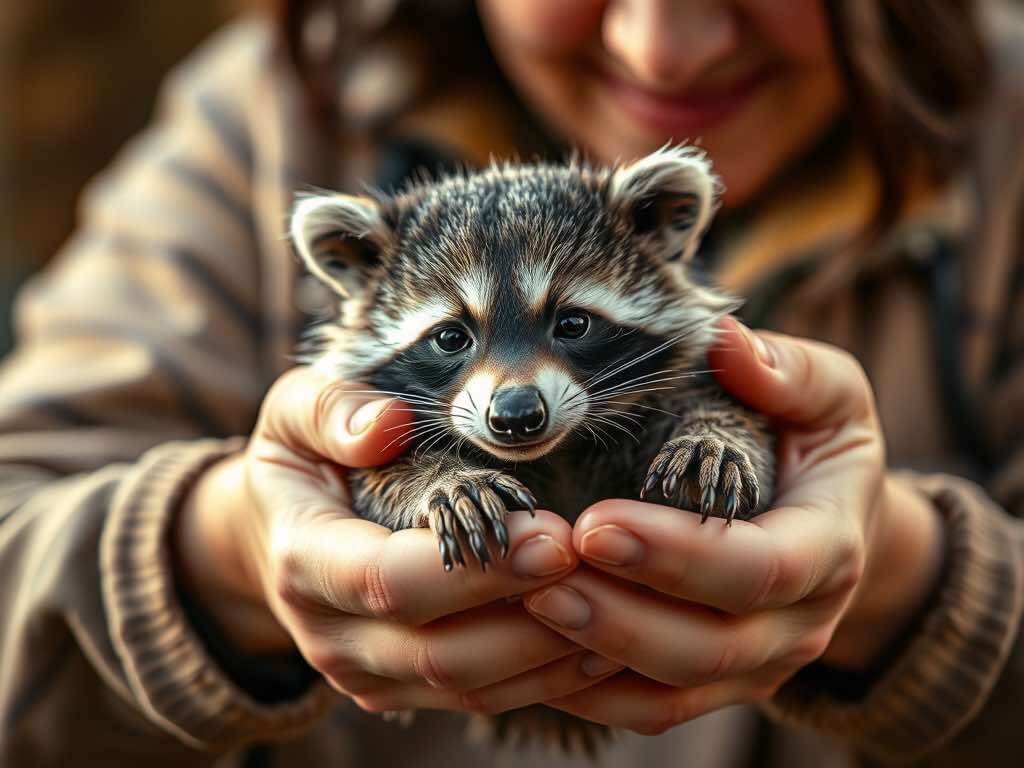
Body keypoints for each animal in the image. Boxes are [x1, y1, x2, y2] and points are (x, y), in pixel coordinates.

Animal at [289, 146, 775, 750]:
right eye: (450, 337)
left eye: (573, 323)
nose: (516, 416)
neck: (553, 452)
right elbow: (381, 475)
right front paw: (443, 480)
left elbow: (736, 419)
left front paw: (711, 439)